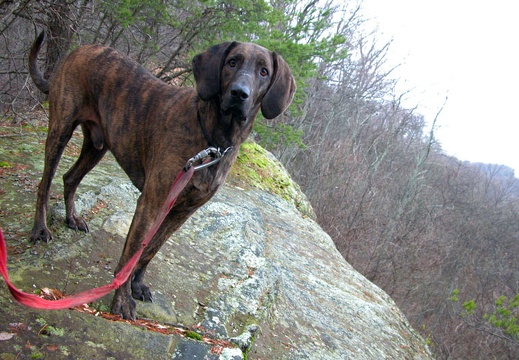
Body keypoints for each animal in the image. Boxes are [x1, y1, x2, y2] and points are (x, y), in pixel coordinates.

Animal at [29, 32, 296, 320]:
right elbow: (133, 251)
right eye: (232, 62)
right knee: (45, 184)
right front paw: (122, 300)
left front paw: (137, 284)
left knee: (70, 178)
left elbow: (150, 250)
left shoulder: (180, 213)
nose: (239, 93)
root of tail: (79, 50)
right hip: (61, 129)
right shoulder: (152, 202)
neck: (214, 138)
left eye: (264, 71)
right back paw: (40, 229)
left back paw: (72, 218)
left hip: (96, 146)